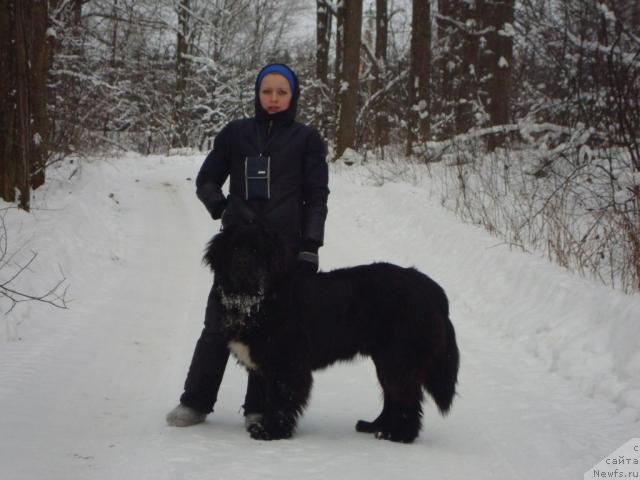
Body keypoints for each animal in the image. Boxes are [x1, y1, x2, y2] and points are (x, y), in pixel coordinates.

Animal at [205, 224, 460, 442]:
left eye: (257, 250)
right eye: (234, 248)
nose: (242, 261)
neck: (255, 301)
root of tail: (433, 289)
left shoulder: (287, 364)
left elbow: (280, 400)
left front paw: (271, 431)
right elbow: (271, 399)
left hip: (399, 358)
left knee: (407, 398)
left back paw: (399, 435)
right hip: (387, 359)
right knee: (392, 396)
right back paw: (376, 426)